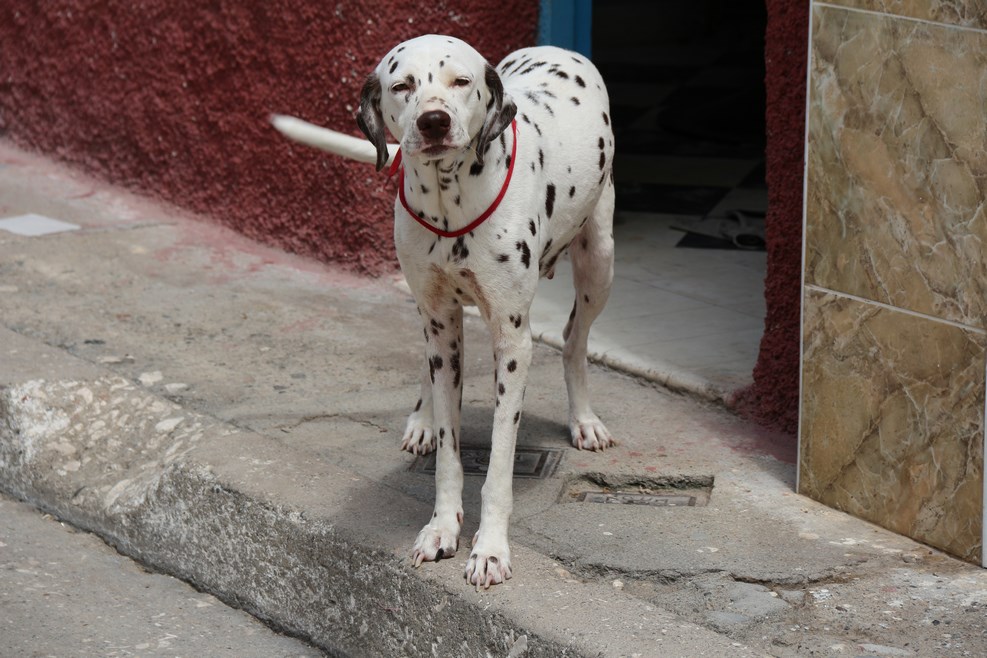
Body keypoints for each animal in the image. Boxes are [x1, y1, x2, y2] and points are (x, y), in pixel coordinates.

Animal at [277, 34, 616, 589]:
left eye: (461, 81)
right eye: (402, 85)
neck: (449, 203)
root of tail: (558, 47)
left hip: (599, 262)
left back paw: (583, 418)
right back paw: (421, 418)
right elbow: (449, 453)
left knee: (575, 341)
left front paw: (491, 548)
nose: (433, 120)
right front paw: (441, 526)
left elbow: (498, 463)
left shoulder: (512, 340)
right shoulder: (439, 320)